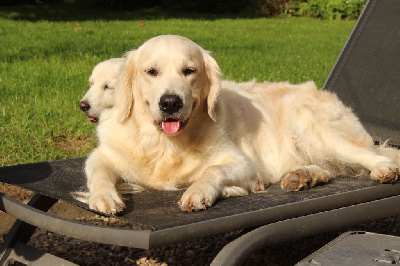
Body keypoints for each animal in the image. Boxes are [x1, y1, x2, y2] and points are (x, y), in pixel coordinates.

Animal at [85, 34, 400, 214]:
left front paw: (199, 191)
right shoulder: (104, 154)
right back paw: (303, 176)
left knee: (371, 156)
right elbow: (97, 171)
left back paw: (384, 170)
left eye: (189, 71)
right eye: (151, 71)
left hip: (314, 129)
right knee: (330, 168)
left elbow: (211, 170)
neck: (164, 144)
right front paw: (104, 198)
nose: (170, 102)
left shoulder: (244, 163)